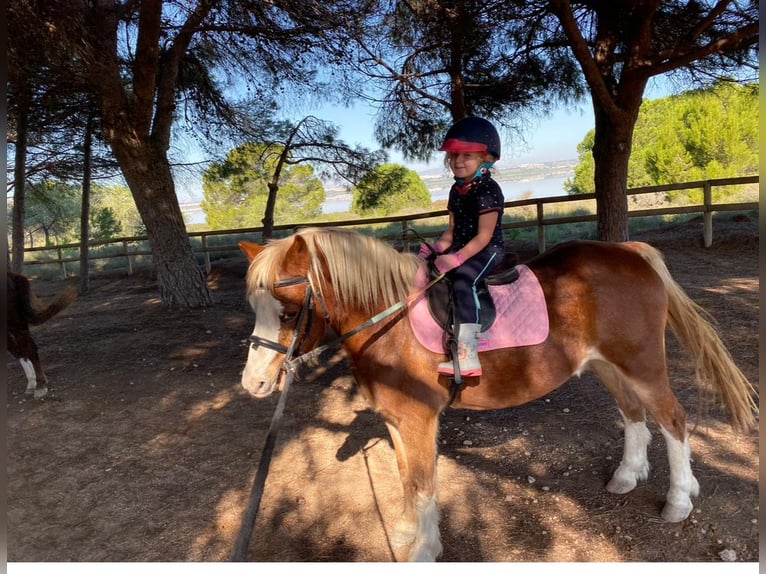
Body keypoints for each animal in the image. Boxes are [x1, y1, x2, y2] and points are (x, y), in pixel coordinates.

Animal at [238, 228, 756, 564]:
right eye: (254, 306)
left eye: (288, 311)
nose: (253, 384)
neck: (389, 319)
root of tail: (630, 252)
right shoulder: (396, 420)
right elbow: (406, 478)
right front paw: (406, 534)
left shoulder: (418, 419)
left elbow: (422, 483)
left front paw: (424, 551)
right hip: (608, 366)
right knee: (633, 414)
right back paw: (627, 476)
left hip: (643, 364)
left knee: (673, 419)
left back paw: (679, 500)